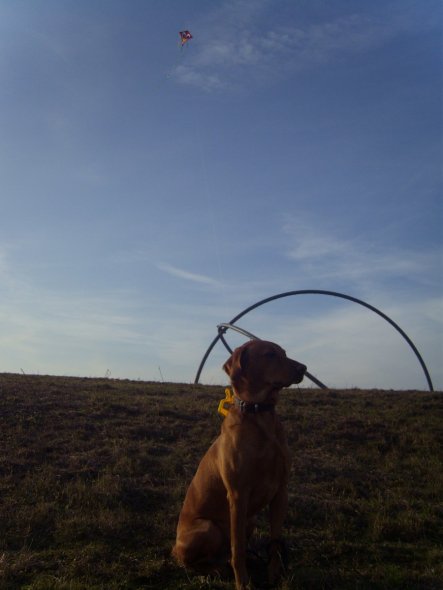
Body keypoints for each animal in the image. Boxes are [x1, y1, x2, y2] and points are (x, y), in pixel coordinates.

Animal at [173, 340, 306, 588]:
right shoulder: (237, 494)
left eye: (284, 353)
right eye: (270, 354)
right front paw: (243, 583)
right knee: (197, 561)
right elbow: (239, 550)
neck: (259, 415)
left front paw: (274, 575)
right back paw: (214, 569)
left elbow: (275, 542)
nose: (303, 368)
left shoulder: (281, 491)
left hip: (250, 521)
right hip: (208, 528)